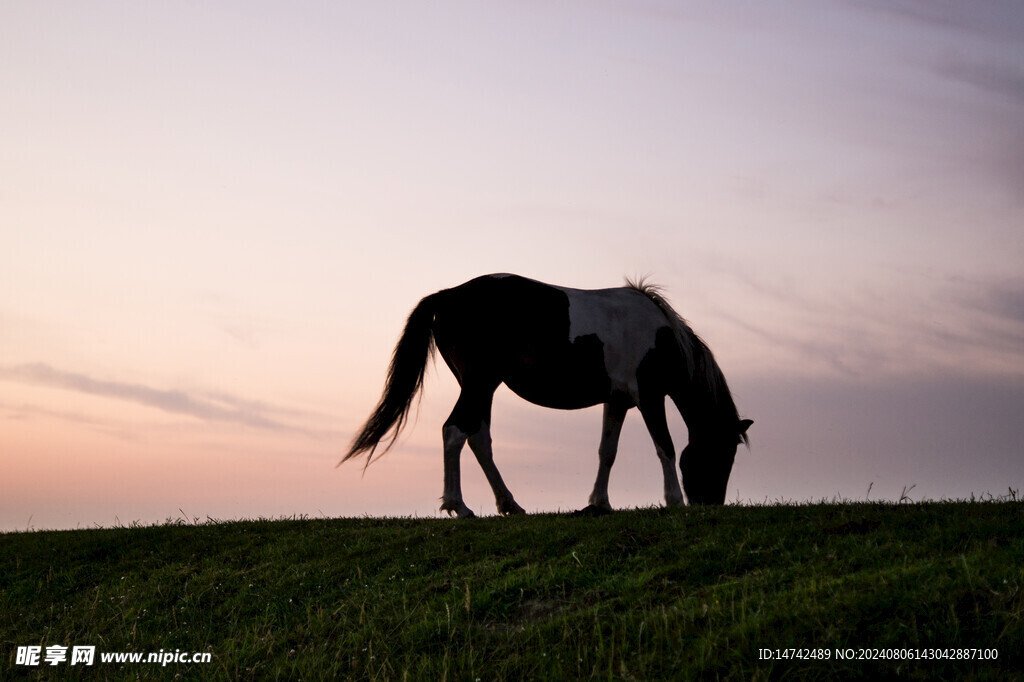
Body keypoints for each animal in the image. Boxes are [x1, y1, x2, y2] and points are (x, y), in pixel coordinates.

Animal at [341, 273, 751, 518]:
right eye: (722, 455)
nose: (710, 503)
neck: (662, 336)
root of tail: (447, 297)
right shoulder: (649, 396)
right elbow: (664, 446)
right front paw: (674, 500)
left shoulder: (618, 400)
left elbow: (607, 451)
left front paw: (599, 503)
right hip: (477, 383)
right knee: (455, 431)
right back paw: (459, 506)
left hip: (484, 387)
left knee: (478, 438)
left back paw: (509, 504)